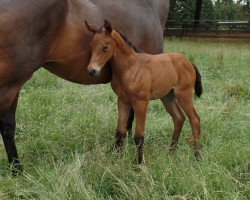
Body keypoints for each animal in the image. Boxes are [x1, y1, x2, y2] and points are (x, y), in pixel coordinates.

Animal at [86, 20, 203, 164]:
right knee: (179, 118)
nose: (92, 71)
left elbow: (139, 136)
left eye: (105, 46)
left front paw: (140, 164)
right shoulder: (122, 101)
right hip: (167, 96)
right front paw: (115, 159)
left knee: (195, 120)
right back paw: (171, 152)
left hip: (184, 95)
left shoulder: (141, 103)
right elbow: (120, 132)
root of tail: (189, 62)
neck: (129, 67)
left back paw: (197, 157)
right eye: (91, 45)